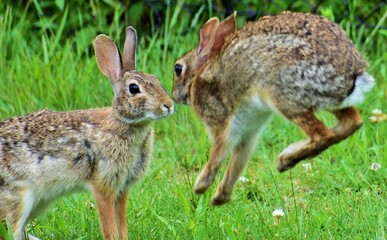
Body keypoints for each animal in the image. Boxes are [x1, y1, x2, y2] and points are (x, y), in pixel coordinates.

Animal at [0, 26, 173, 240]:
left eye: (156, 80)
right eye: (134, 89)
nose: (169, 105)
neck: (125, 124)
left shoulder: (122, 190)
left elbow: (122, 225)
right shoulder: (103, 186)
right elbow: (110, 226)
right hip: (18, 197)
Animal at [172, 11, 372, 205]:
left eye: (178, 68)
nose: (174, 95)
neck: (197, 75)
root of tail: (353, 72)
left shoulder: (220, 122)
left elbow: (218, 155)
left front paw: (201, 186)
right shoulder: (249, 133)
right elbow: (238, 162)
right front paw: (220, 197)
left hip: (282, 95)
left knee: (323, 134)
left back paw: (286, 159)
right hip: (331, 101)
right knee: (352, 122)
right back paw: (287, 159)